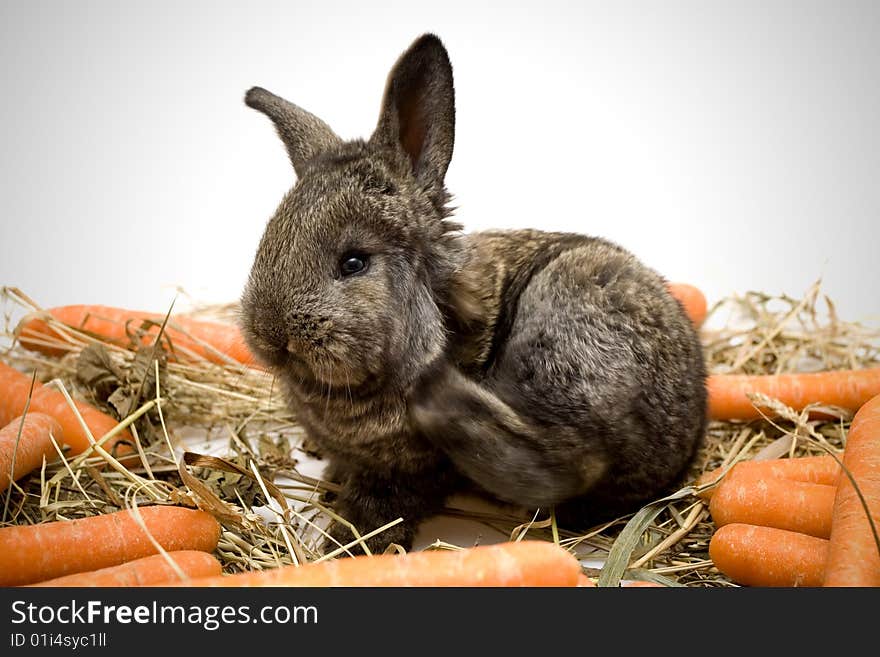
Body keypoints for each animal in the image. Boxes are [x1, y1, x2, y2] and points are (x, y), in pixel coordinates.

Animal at [239, 33, 708, 552]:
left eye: (354, 262)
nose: (270, 333)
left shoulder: (406, 470)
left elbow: (388, 498)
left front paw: (351, 537)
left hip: (563, 321)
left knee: (571, 460)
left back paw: (440, 395)